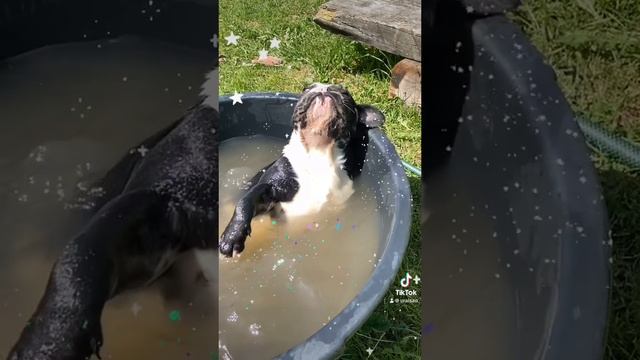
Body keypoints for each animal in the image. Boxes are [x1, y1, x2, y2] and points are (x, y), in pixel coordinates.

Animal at [218, 83, 382, 258]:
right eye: (306, 89)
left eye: (344, 93)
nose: (324, 88)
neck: (319, 151)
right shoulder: (270, 186)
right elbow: (245, 201)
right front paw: (232, 236)